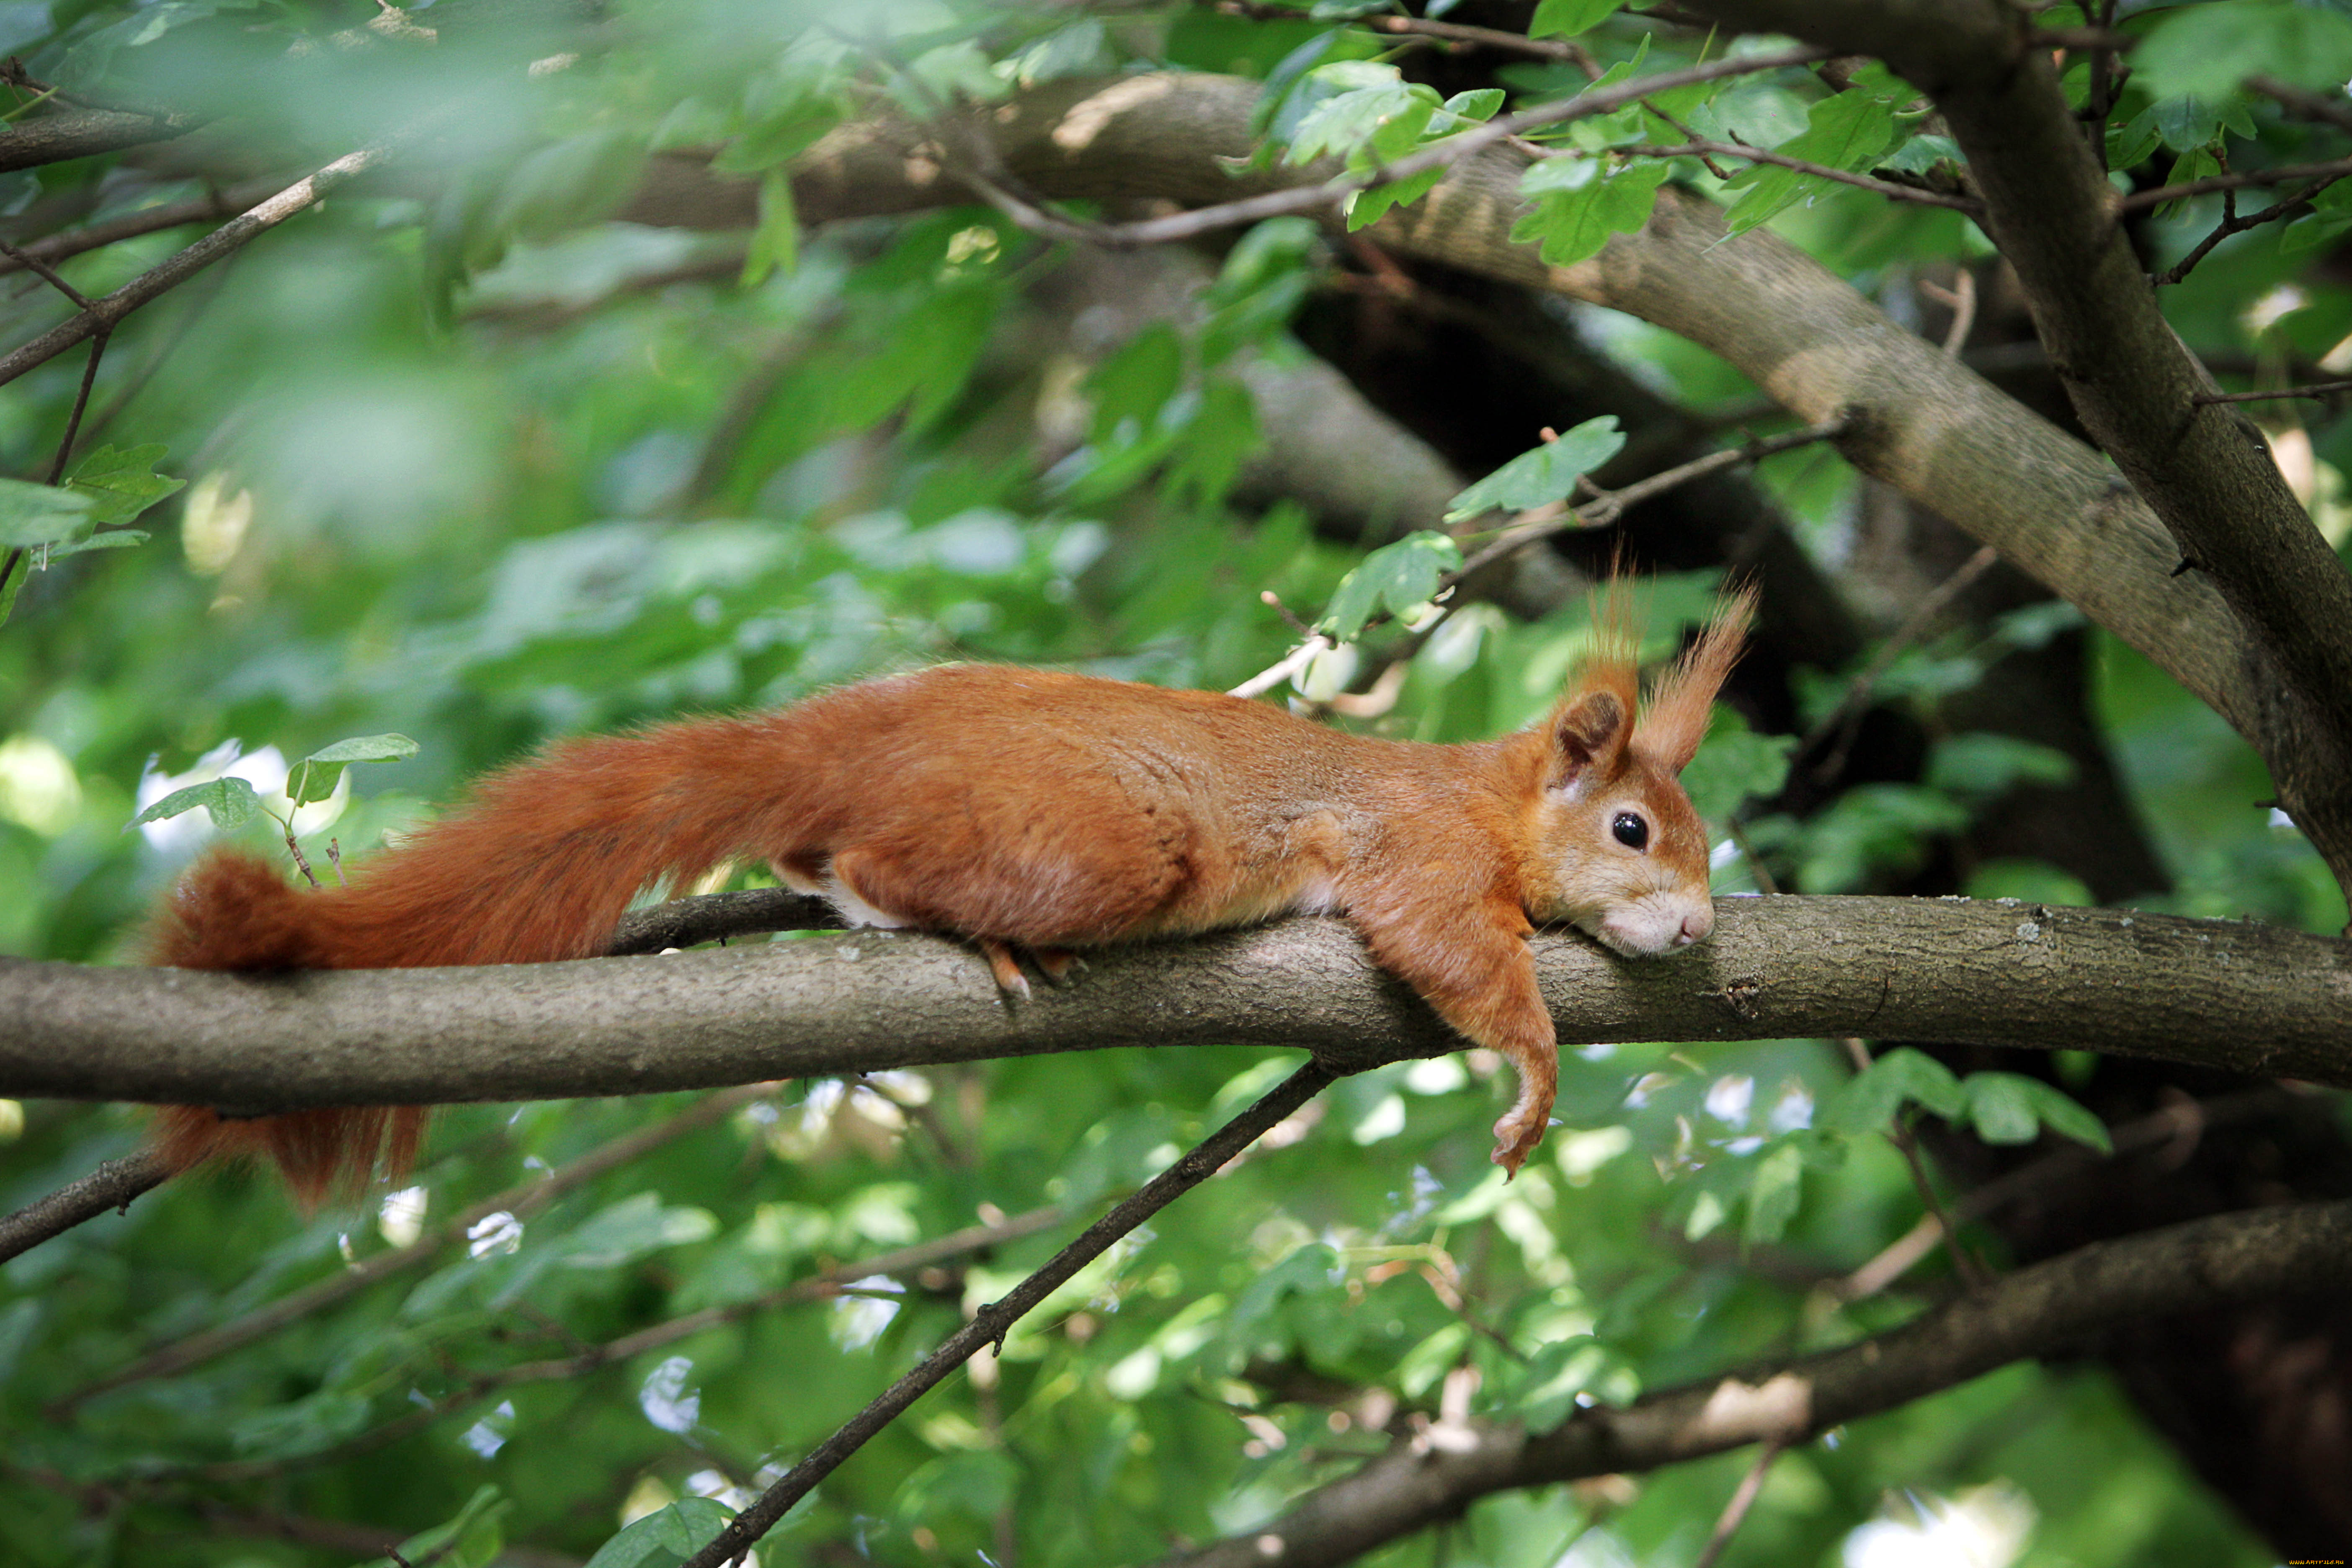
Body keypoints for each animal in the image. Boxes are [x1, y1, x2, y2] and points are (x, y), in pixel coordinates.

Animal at [147, 592, 1759, 1203]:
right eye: (1632, 828)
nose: (1695, 927)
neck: (1483, 797)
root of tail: (863, 736)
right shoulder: (1411, 853)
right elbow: (1458, 957)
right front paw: (1532, 1074)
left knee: (812, 855)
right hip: (1103, 847)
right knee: (887, 867)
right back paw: (951, 926)